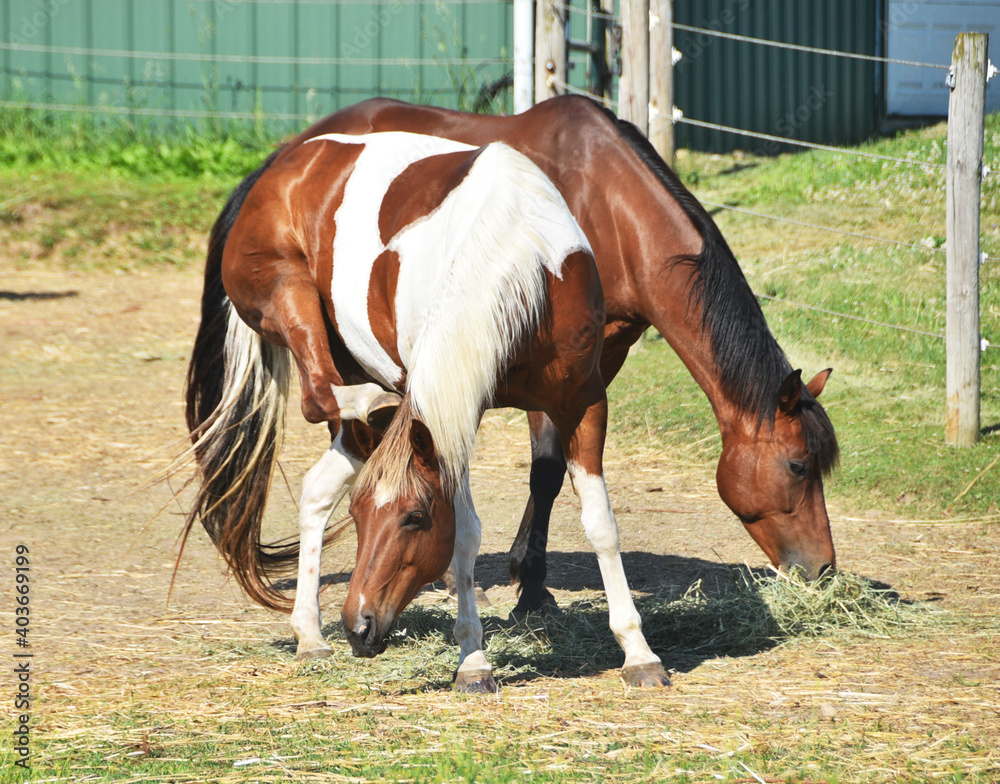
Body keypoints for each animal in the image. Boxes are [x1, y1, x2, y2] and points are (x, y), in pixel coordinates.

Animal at [184, 130, 671, 692]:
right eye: (358, 517)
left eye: (414, 518)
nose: (358, 627)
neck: (523, 260)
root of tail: (280, 165)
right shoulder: (452, 411)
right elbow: (466, 534)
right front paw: (474, 660)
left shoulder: (583, 402)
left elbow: (600, 525)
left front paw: (638, 652)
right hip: (289, 297)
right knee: (317, 396)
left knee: (317, 487)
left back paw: (309, 634)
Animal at [224, 96, 840, 624]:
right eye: (798, 466)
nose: (823, 568)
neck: (607, 202)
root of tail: (286, 154)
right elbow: (544, 471)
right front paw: (527, 585)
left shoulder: (597, 359)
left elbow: (550, 469)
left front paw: (530, 585)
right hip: (303, 311)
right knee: (326, 398)